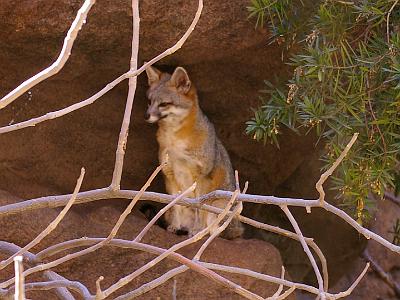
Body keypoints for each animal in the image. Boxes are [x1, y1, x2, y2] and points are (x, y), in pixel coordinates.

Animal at [144, 65, 244, 239]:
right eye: (149, 102)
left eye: (163, 104)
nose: (146, 115)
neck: (174, 141)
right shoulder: (169, 174)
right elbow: (176, 204)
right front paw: (175, 226)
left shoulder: (202, 177)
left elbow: (200, 207)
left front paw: (197, 229)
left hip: (218, 204)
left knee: (216, 231)